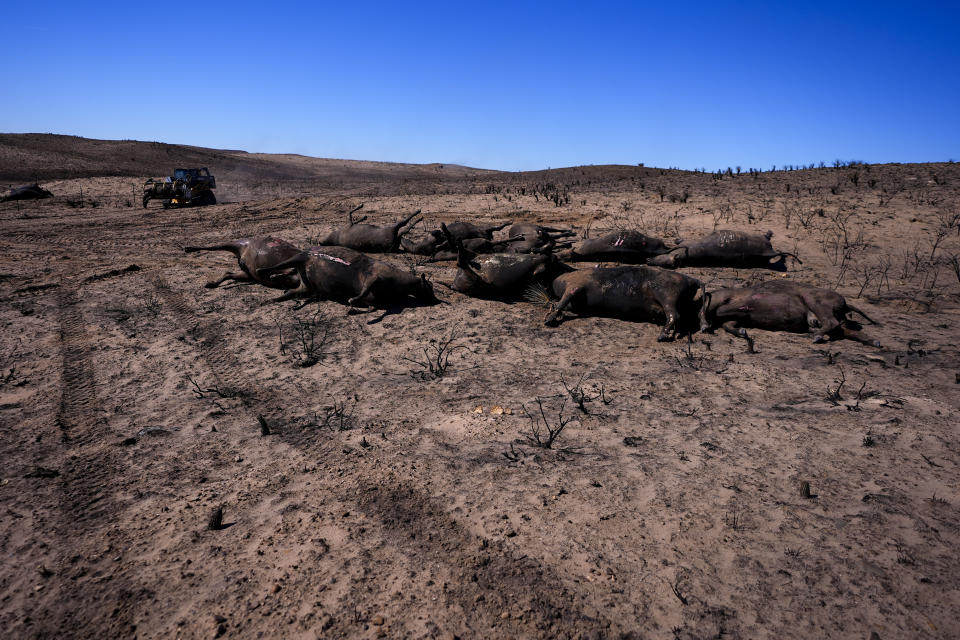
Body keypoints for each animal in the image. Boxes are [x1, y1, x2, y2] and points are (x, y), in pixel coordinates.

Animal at [258, 244, 438, 308]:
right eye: (429, 287)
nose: (435, 300)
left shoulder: (373, 298)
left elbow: (370, 302)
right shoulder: (374, 277)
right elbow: (364, 291)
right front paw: (352, 300)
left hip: (305, 286)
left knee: (290, 292)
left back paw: (274, 298)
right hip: (300, 257)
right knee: (279, 266)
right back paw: (264, 272)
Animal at [548, 264, 704, 340]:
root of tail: (691, 279)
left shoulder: (574, 286)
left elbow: (561, 303)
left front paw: (549, 320)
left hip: (667, 295)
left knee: (674, 314)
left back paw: (661, 336)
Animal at [700, 280, 880, 350]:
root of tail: (844, 302)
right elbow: (727, 322)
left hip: (815, 301)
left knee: (831, 323)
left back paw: (818, 336)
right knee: (846, 330)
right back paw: (873, 341)